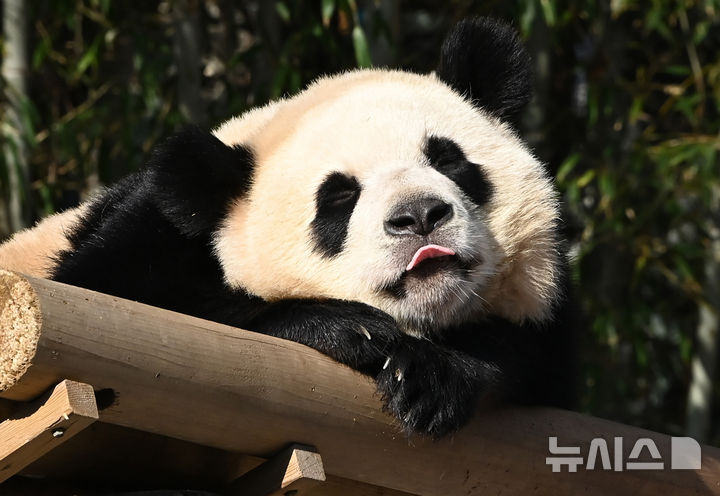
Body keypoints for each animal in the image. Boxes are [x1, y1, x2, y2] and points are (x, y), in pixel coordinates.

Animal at [0, 18, 572, 438]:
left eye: (448, 159)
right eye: (339, 197)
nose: (419, 216)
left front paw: (433, 376)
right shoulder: (143, 239)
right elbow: (115, 310)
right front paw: (349, 328)